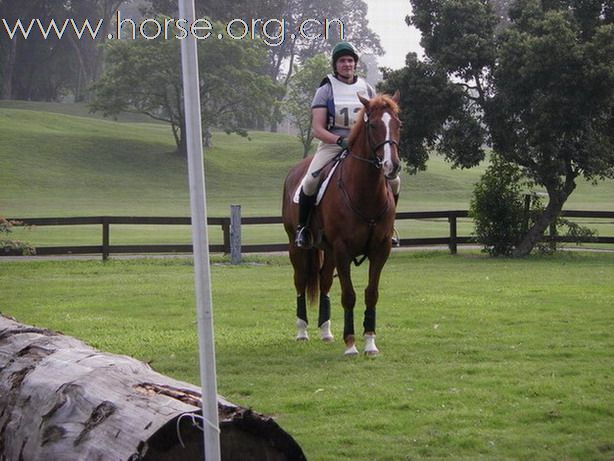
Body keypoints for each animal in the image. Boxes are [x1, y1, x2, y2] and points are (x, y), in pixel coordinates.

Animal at [282, 90, 402, 356]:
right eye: (373, 125)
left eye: (398, 124)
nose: (393, 166)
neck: (365, 193)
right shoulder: (343, 249)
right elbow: (348, 295)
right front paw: (350, 344)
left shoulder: (380, 250)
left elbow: (371, 294)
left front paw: (370, 342)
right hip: (297, 246)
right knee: (300, 281)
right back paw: (302, 331)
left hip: (327, 251)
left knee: (325, 281)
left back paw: (325, 331)